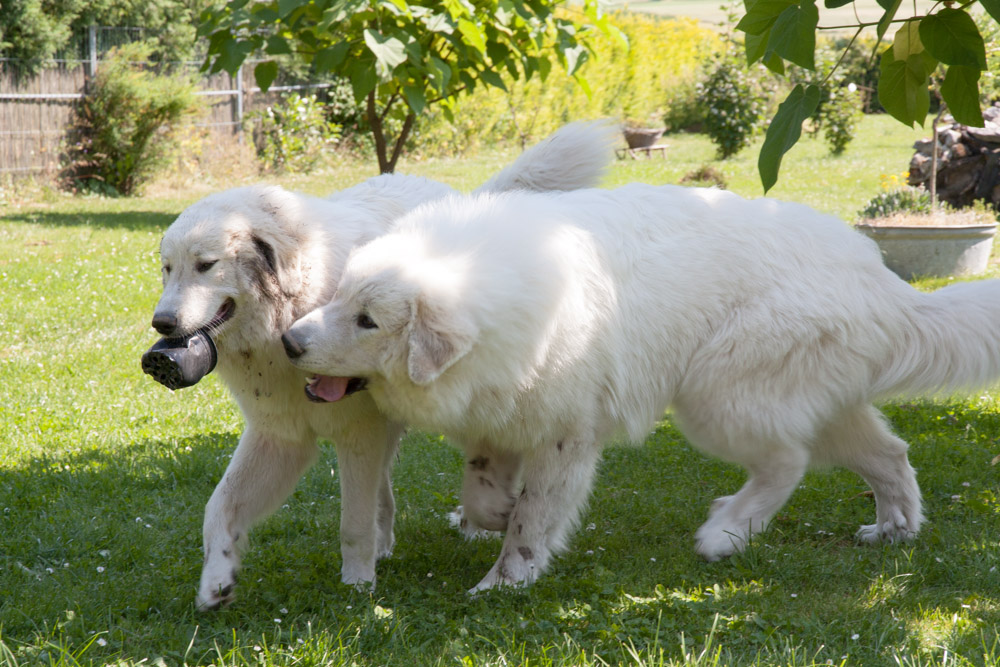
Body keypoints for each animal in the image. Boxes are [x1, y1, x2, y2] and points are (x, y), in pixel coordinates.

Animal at [148, 121, 616, 612]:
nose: (161, 323)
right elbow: (219, 507)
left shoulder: (357, 432)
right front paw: (216, 580)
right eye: (167, 269)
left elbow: (352, 522)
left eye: (206, 266)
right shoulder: (280, 436)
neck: (296, 305)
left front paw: (356, 586)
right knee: (386, 488)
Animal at [280, 185, 1000, 592]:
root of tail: (884, 280)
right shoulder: (503, 417)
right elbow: (485, 496)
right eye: (339, 297)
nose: (289, 341)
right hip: (822, 404)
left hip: (717, 396)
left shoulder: (566, 436)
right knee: (890, 454)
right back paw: (895, 528)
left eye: (368, 320)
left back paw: (726, 530)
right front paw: (494, 516)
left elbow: (534, 518)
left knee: (787, 462)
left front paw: (506, 580)